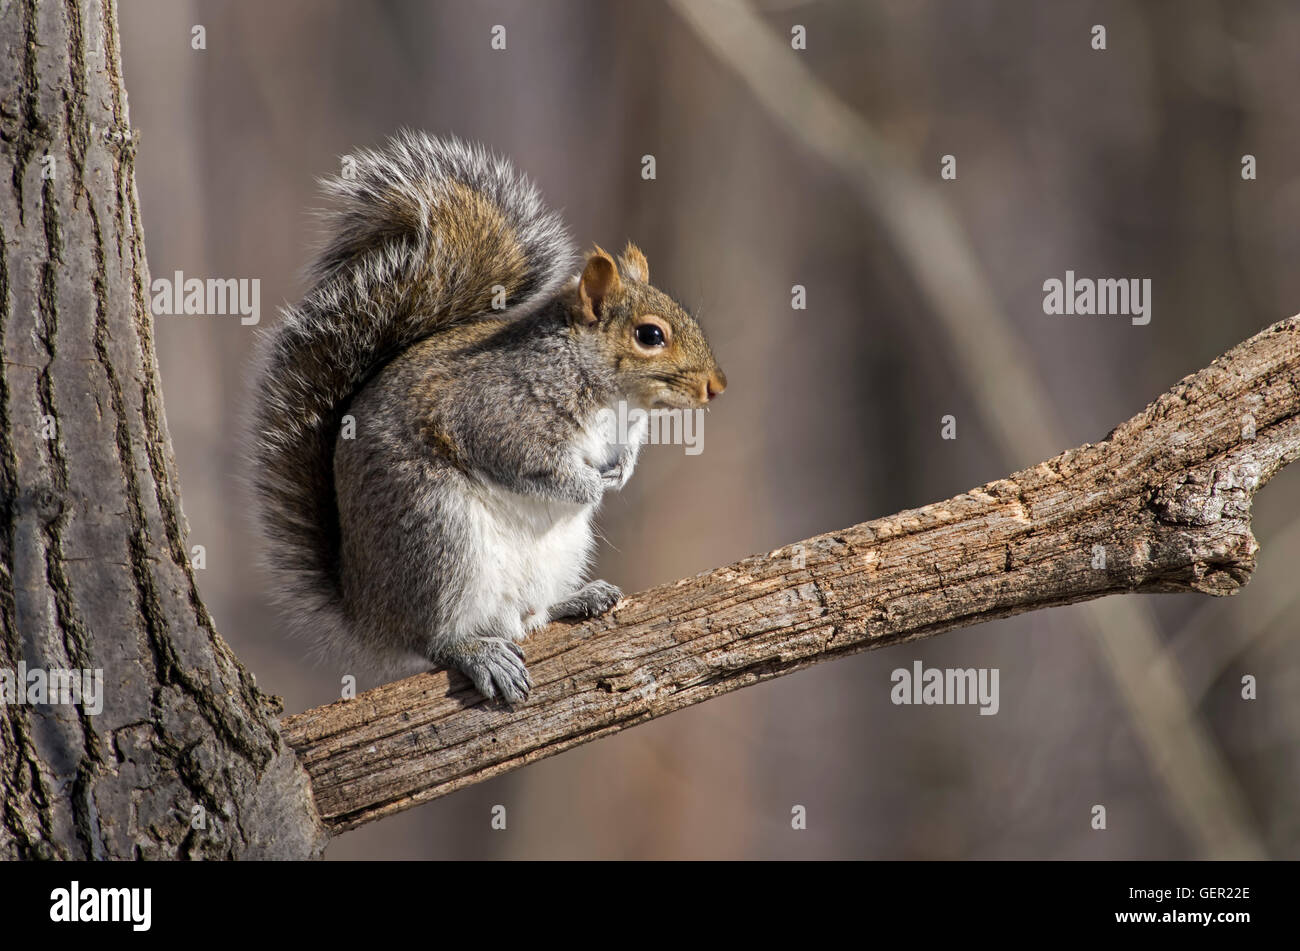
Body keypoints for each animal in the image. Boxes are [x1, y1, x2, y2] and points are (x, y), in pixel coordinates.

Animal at [250, 132, 726, 705]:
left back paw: (578, 598)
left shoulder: (623, 431)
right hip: (438, 535)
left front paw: (620, 472)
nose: (716, 387)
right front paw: (591, 487)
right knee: (436, 640)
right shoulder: (499, 415)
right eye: (650, 335)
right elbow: (528, 464)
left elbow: (623, 453)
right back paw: (477, 652)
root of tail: (367, 614)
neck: (614, 400)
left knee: (529, 615)